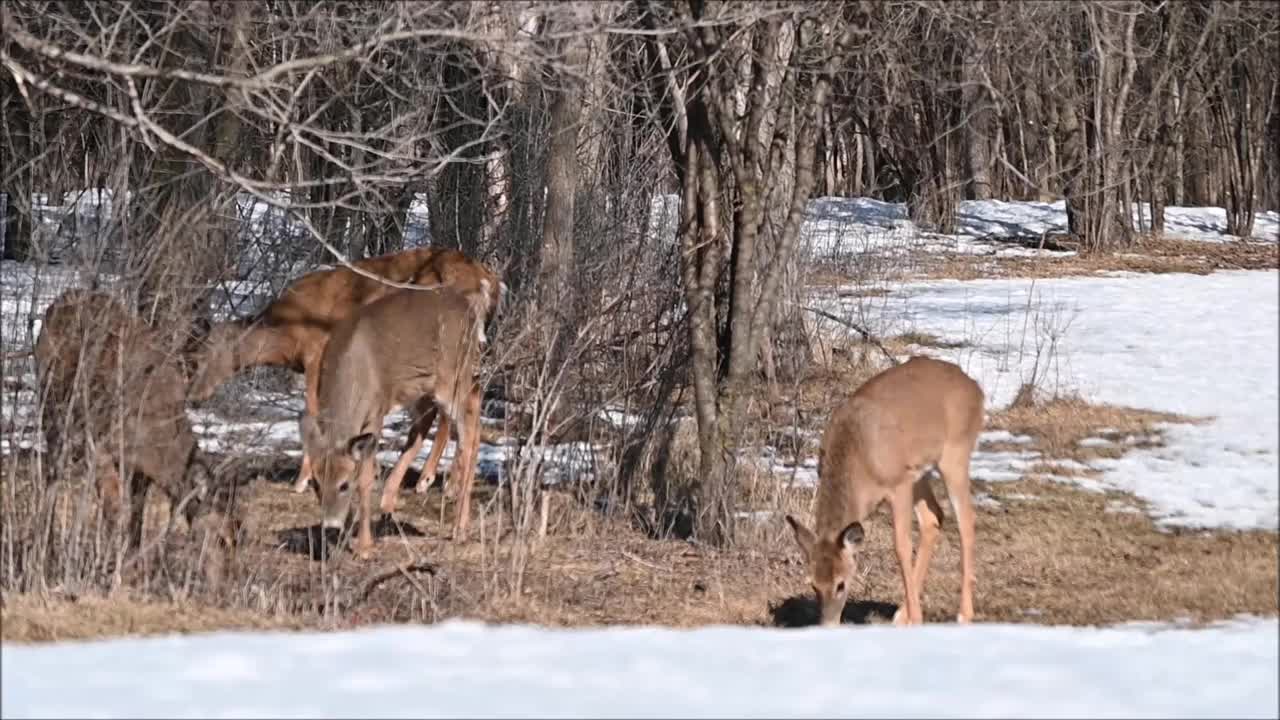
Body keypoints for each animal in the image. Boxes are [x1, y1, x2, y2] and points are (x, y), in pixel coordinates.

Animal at [34, 288, 225, 545]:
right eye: (222, 539)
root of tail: (56, 303)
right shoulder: (100, 447)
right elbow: (114, 511)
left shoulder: (138, 469)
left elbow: (137, 513)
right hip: (51, 410)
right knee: (52, 474)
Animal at [185, 243, 504, 497]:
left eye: (199, 358)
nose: (192, 397)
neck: (287, 334)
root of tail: (487, 282)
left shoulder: (318, 353)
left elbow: (315, 410)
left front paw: (304, 480)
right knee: (448, 407)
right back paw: (429, 480)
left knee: (452, 406)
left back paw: (438, 483)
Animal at [299, 283, 483, 550]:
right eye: (315, 483)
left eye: (344, 484)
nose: (330, 526)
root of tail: (469, 308)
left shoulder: (375, 412)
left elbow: (366, 478)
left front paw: (364, 546)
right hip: (422, 386)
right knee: (447, 418)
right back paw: (390, 503)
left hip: (454, 376)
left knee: (469, 427)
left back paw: (458, 527)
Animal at [783, 356, 983, 625]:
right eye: (813, 585)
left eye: (841, 584)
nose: (828, 625)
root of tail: (977, 389)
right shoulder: (906, 478)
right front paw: (910, 615)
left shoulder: (898, 484)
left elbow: (901, 546)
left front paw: (917, 618)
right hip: (920, 472)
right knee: (933, 518)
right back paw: (901, 614)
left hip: (955, 454)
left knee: (966, 521)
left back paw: (963, 613)